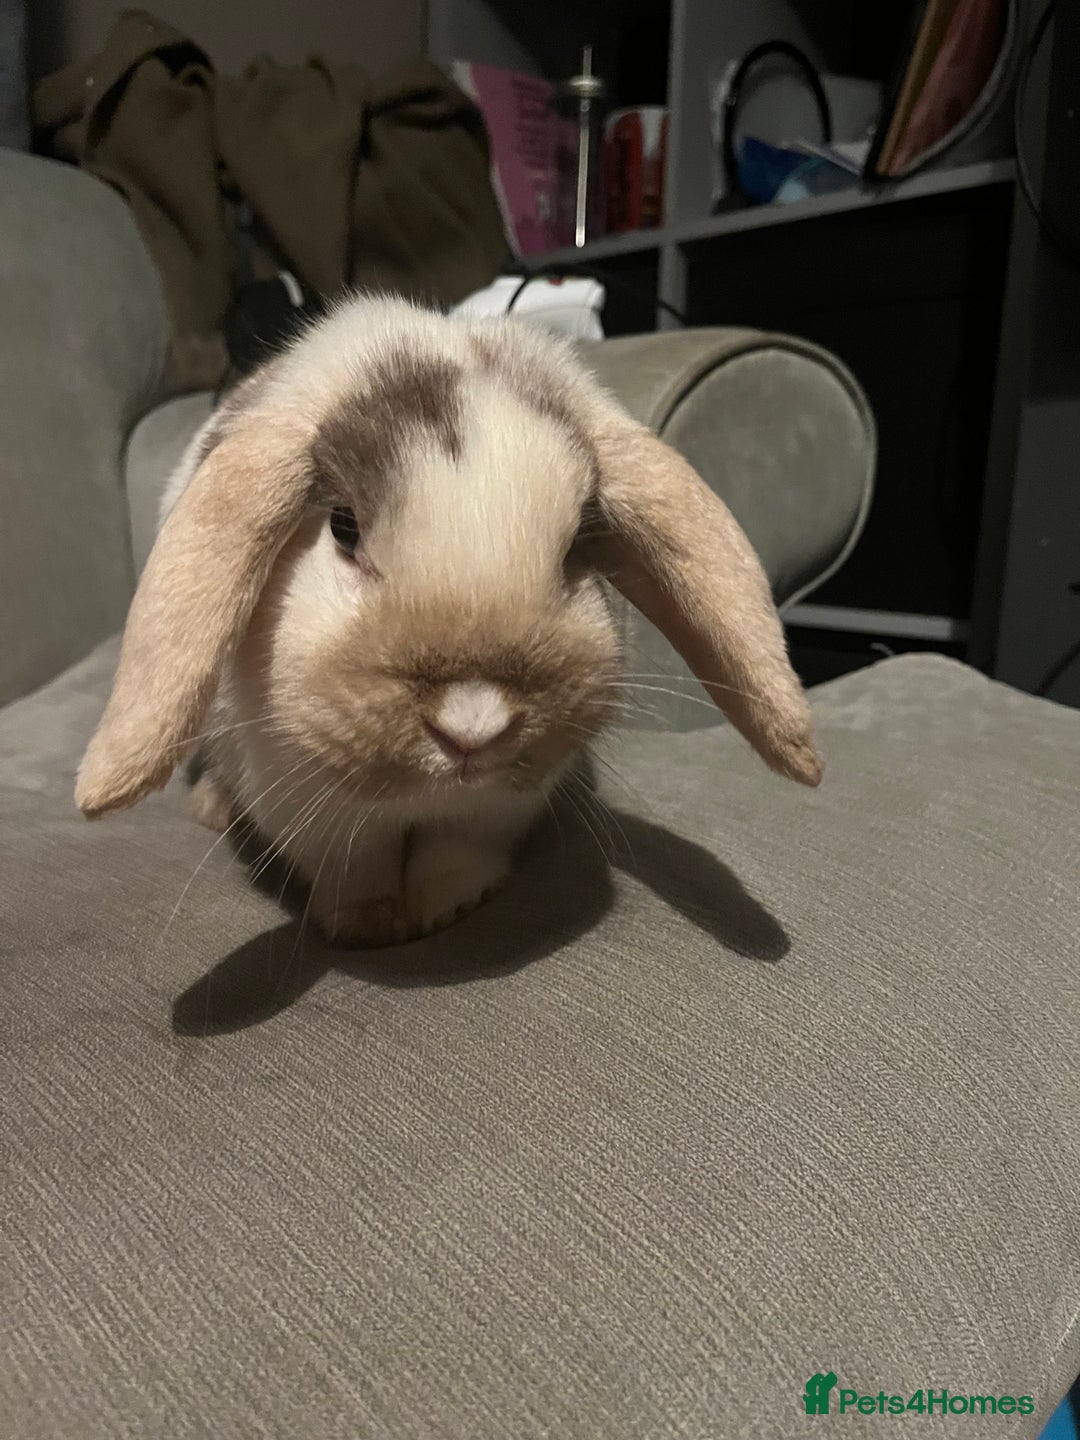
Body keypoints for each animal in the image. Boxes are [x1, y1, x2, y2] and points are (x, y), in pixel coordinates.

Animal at [76, 294, 822, 947]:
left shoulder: (494, 810)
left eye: (576, 549)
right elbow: (355, 872)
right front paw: (368, 930)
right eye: (343, 528)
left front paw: (446, 910)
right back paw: (211, 810)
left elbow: (457, 856)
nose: (473, 725)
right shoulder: (306, 806)